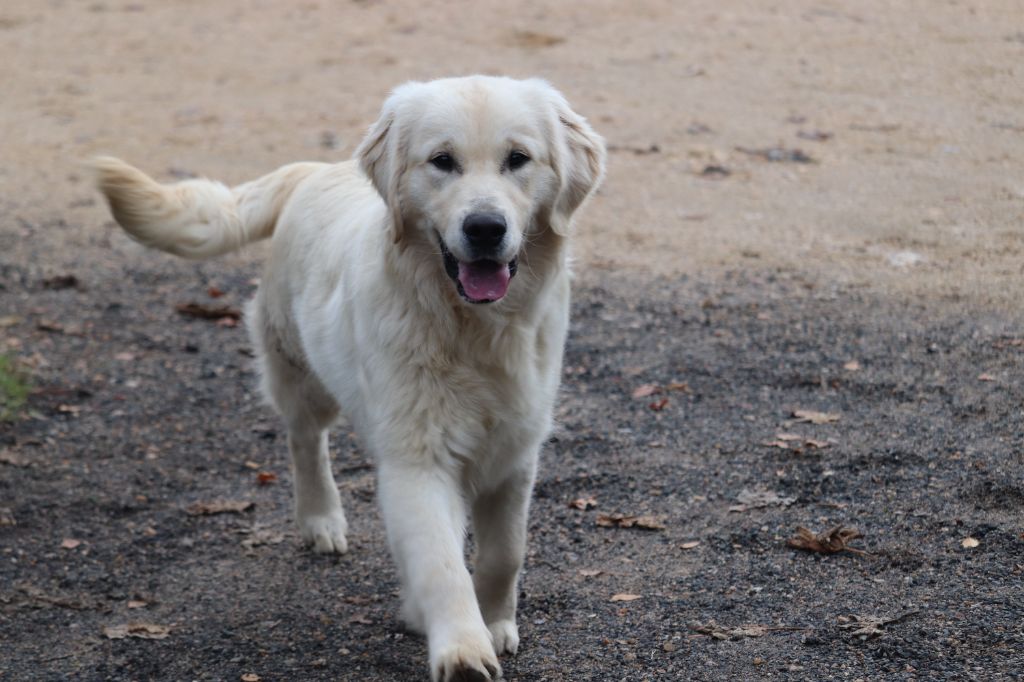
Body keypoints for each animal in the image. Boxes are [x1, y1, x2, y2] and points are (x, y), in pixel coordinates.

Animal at [92, 75, 602, 679]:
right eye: (442, 161)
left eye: (518, 159)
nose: (484, 228)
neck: (471, 328)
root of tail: (309, 170)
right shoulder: (418, 459)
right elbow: (440, 563)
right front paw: (461, 648)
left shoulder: (514, 454)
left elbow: (505, 553)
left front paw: (496, 622)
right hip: (301, 375)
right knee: (306, 442)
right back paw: (321, 519)